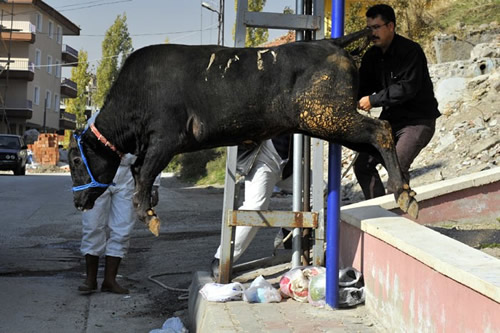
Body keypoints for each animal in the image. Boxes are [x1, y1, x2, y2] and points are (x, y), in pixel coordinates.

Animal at [66, 29, 418, 235]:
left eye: (76, 161)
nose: (78, 202)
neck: (135, 93)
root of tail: (330, 42)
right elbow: (141, 172)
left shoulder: (165, 140)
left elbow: (143, 173)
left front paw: (148, 214)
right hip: (327, 122)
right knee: (373, 143)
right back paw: (404, 189)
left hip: (328, 116)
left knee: (381, 129)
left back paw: (403, 192)